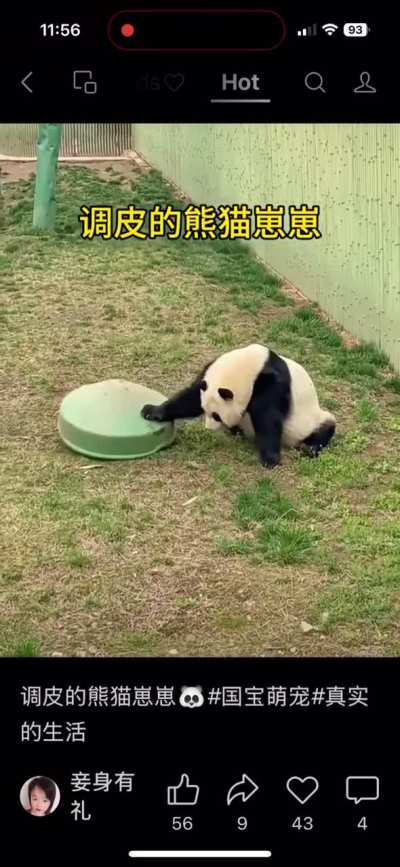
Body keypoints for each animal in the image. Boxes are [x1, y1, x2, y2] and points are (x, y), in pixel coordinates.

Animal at [141, 344, 336, 468]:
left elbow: (268, 416)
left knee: (325, 428)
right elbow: (191, 398)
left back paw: (310, 448)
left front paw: (270, 458)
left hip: (310, 419)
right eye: (205, 411)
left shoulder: (271, 384)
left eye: (217, 415)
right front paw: (152, 411)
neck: (251, 365)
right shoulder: (209, 373)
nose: (209, 428)